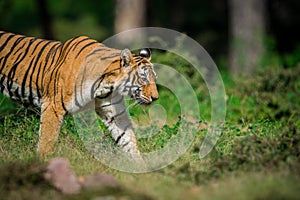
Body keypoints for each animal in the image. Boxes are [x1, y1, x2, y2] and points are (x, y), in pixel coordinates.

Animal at [0, 30, 158, 158]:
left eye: (154, 78)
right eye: (143, 78)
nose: (156, 98)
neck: (107, 84)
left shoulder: (114, 113)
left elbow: (128, 140)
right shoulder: (52, 107)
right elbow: (47, 140)